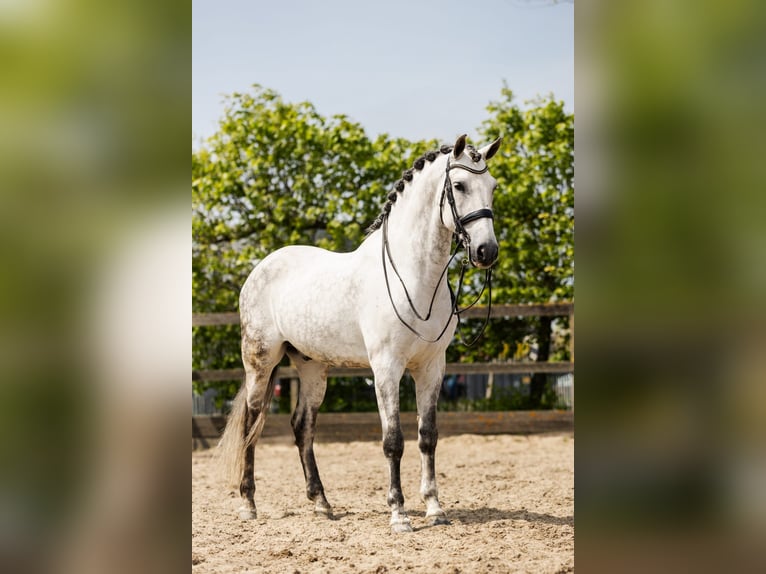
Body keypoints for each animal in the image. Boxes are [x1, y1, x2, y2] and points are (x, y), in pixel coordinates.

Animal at [216, 135, 504, 536]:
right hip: (260, 363)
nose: (486, 251)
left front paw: (434, 509)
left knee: (302, 427)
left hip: (313, 368)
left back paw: (322, 503)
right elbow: (393, 441)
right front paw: (399, 514)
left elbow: (427, 437)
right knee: (251, 422)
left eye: (492, 187)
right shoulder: (386, 368)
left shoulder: (431, 368)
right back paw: (248, 505)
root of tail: (260, 268)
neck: (415, 278)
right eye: (459, 186)